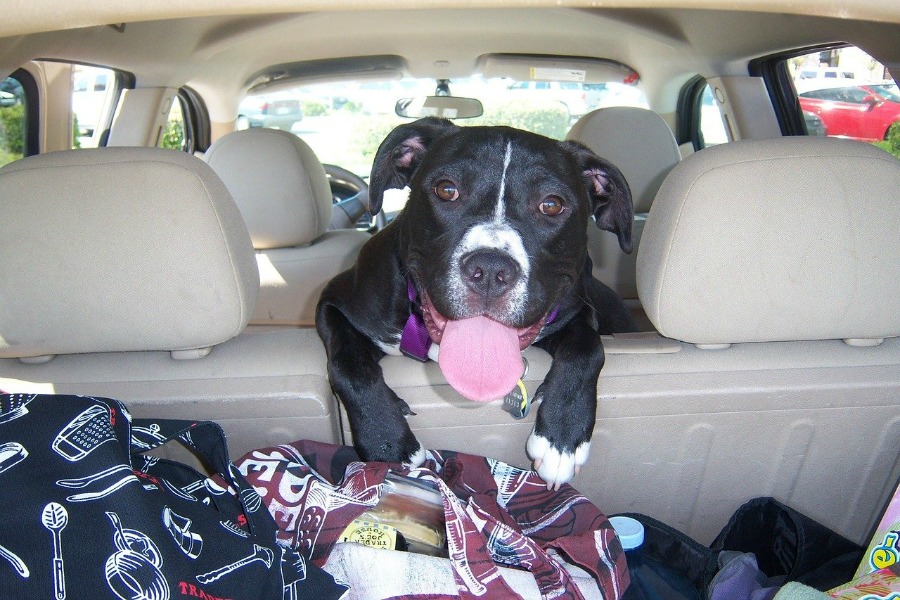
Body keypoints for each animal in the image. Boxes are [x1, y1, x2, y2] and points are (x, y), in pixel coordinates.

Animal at [316, 117, 632, 488]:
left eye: (552, 204)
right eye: (446, 190)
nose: (491, 269)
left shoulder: (576, 311)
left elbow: (588, 349)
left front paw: (562, 438)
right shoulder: (334, 303)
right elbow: (348, 365)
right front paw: (387, 441)